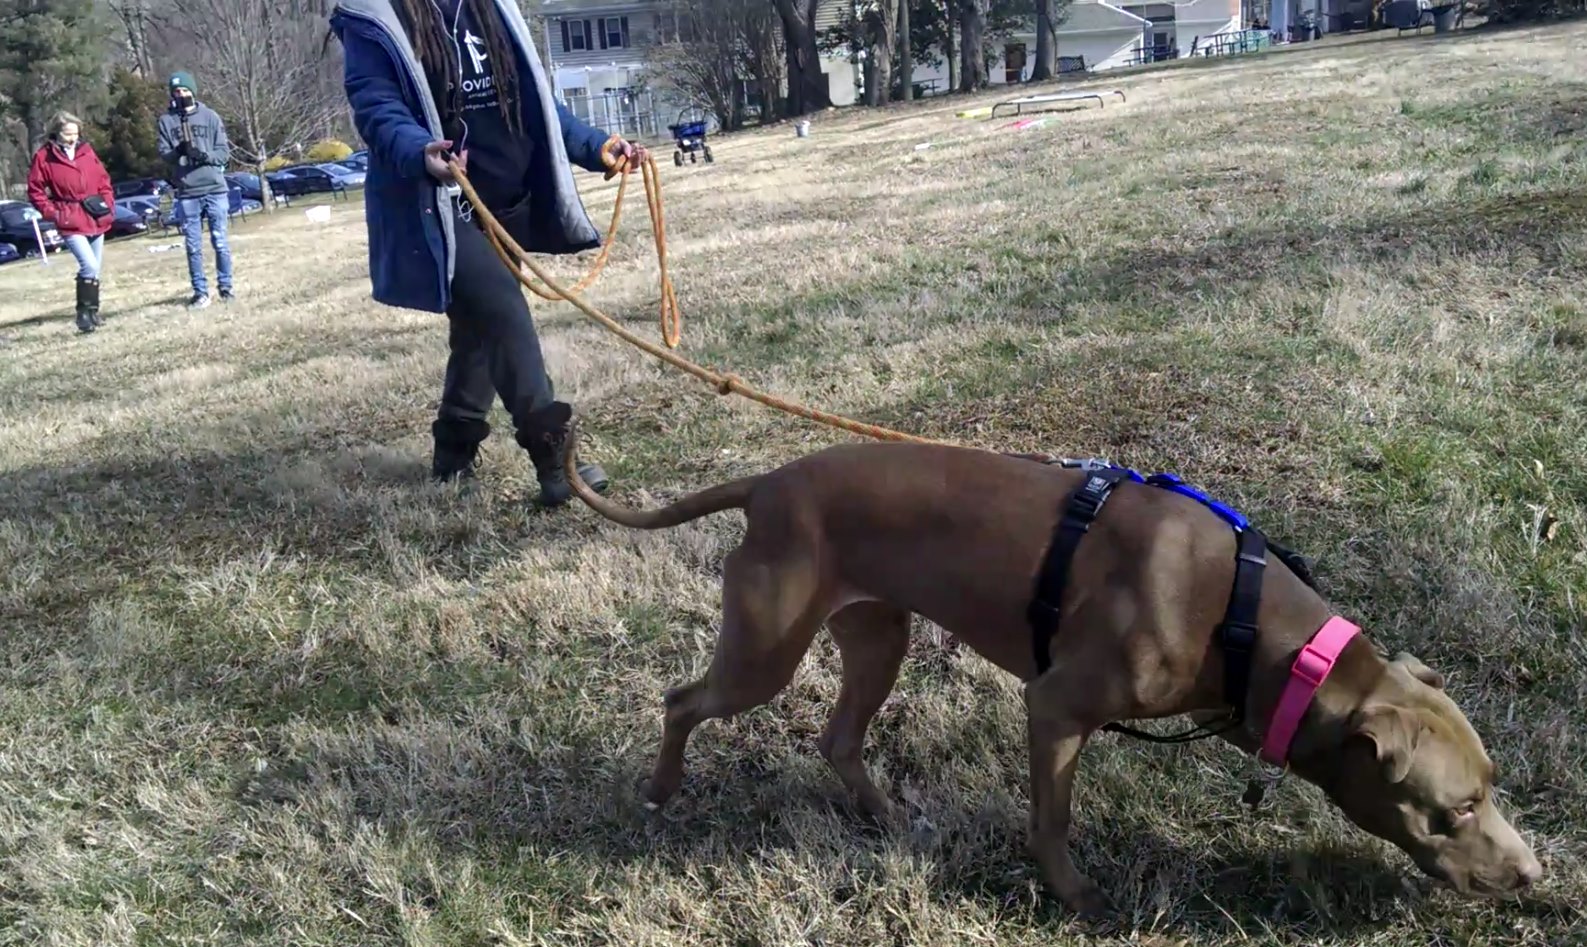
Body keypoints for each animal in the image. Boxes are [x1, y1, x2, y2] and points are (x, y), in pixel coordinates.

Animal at [561, 425, 1536, 907]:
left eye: (1490, 788)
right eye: (1455, 809)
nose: (1533, 875)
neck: (1250, 624)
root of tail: (766, 482)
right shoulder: (1056, 707)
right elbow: (1053, 817)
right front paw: (1072, 895)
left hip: (877, 635)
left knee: (837, 737)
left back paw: (886, 815)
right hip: (763, 651)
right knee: (682, 699)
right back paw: (659, 789)